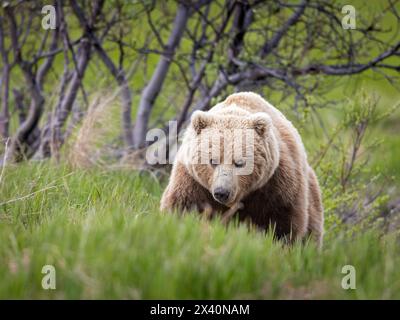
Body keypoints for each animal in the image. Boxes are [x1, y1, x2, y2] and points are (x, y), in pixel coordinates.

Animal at [159, 92, 322, 245]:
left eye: (239, 163)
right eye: (213, 161)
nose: (222, 192)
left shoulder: (276, 186)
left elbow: (283, 226)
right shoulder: (192, 182)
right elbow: (181, 208)